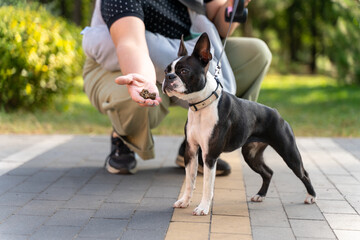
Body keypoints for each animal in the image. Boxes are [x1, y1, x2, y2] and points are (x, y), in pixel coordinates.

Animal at [162, 32, 316, 216]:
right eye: (166, 71)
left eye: (184, 71)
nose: (168, 77)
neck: (201, 105)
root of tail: (275, 112)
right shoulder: (191, 151)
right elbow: (189, 180)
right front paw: (185, 201)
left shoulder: (209, 155)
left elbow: (207, 184)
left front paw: (203, 207)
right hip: (251, 155)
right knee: (268, 172)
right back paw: (260, 195)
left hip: (288, 152)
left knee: (303, 173)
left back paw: (311, 196)